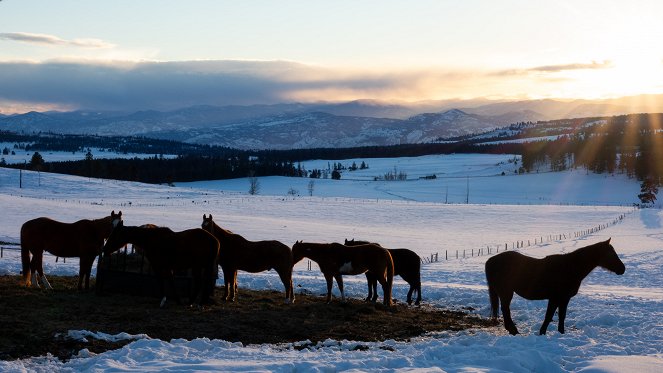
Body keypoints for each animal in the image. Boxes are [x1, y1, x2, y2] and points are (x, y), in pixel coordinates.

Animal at [486, 238, 624, 334]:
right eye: (611, 253)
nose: (622, 269)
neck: (570, 268)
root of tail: (491, 260)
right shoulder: (555, 298)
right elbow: (549, 316)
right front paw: (542, 333)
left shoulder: (564, 299)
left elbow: (561, 316)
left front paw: (561, 333)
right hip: (506, 293)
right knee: (506, 310)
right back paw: (513, 330)